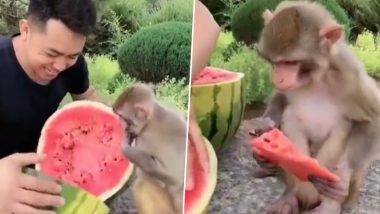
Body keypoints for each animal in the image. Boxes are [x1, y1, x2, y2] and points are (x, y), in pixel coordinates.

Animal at [111, 83, 187, 213]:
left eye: (122, 117)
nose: (119, 122)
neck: (153, 118)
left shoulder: (144, 139)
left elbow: (174, 177)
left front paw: (125, 148)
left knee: (142, 184)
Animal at [248, 0, 380, 213]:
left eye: (290, 62)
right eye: (273, 62)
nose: (278, 78)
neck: (315, 78)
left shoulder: (350, 75)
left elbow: (371, 119)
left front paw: (343, 175)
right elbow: (281, 99)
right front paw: (265, 129)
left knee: (344, 126)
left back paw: (328, 204)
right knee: (291, 114)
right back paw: (292, 195)